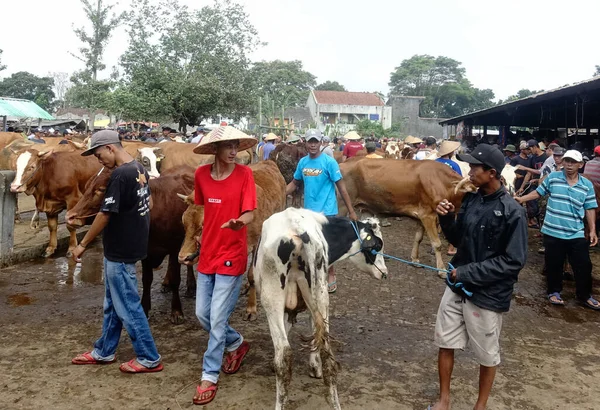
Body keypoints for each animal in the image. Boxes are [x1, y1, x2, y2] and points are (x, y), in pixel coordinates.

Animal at [177, 159, 288, 320]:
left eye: (203, 224)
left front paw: (251, 309)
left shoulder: (256, 243)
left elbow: (251, 275)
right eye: (183, 221)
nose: (183, 257)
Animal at [254, 208, 390, 410]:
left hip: (272, 298)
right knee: (328, 355)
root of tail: (299, 229)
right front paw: (314, 366)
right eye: (377, 247)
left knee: (284, 355)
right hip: (320, 293)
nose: (385, 273)